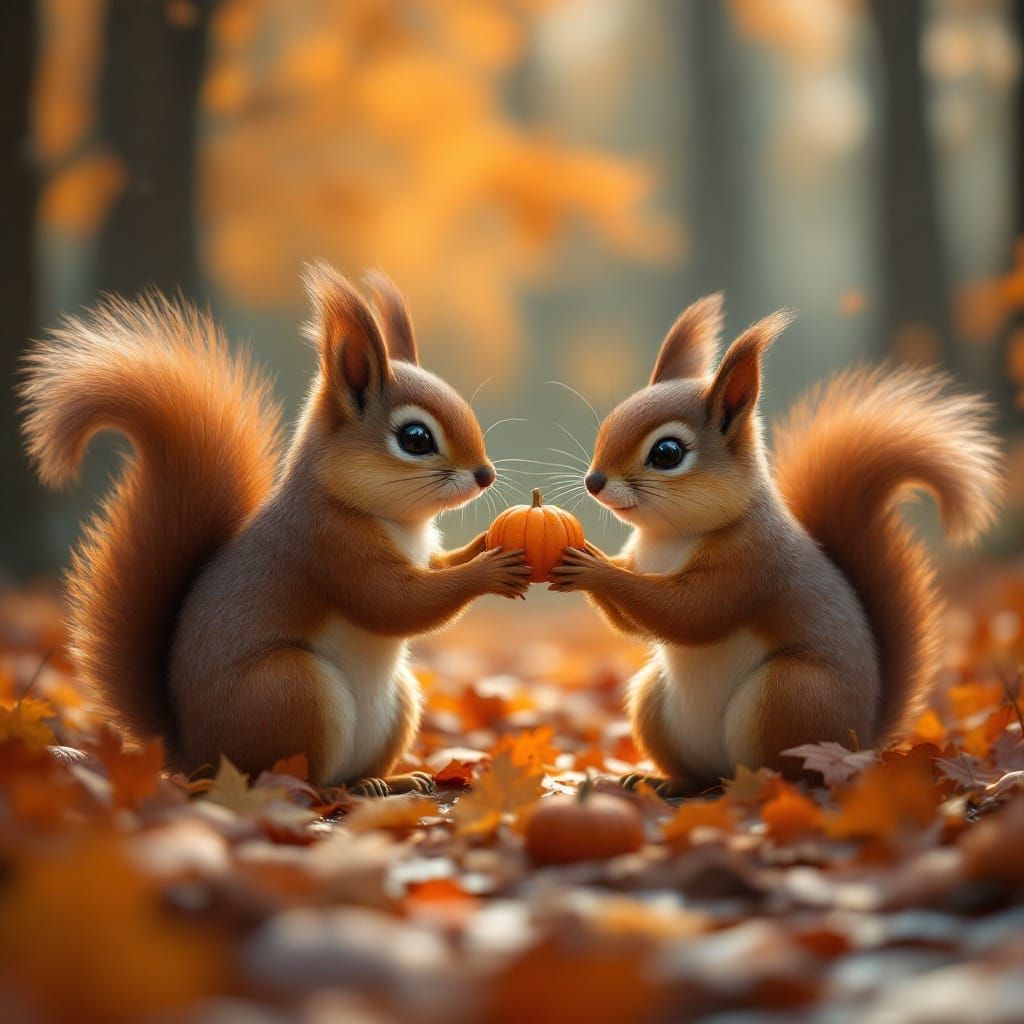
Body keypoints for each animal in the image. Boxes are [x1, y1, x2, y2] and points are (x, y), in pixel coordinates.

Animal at [21, 261, 531, 794]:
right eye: (415, 438)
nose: (486, 475)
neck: (396, 520)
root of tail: (196, 758)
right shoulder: (329, 547)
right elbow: (395, 603)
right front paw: (489, 570)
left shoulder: (417, 552)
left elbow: (435, 568)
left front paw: (483, 545)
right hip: (292, 694)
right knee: (301, 781)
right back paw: (342, 790)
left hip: (398, 701)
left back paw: (396, 781)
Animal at [550, 294, 1003, 796]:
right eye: (608, 425)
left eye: (667, 453)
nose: (593, 482)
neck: (669, 538)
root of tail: (859, 742)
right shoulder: (643, 555)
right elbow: (637, 619)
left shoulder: (753, 563)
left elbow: (692, 614)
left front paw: (594, 568)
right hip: (654, 698)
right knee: (699, 772)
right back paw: (661, 781)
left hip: (789, 696)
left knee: (785, 771)